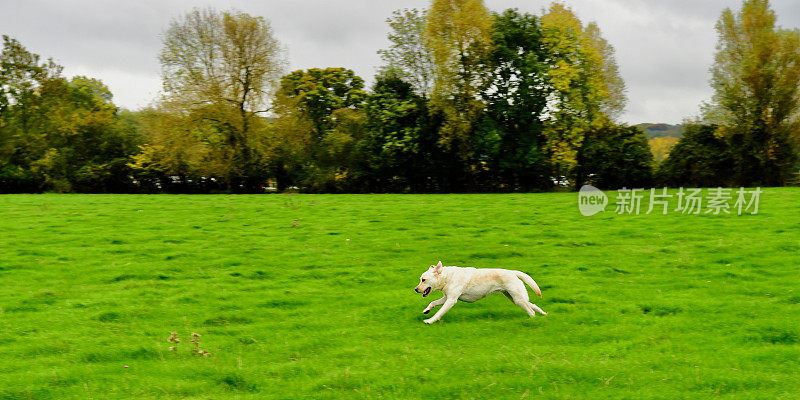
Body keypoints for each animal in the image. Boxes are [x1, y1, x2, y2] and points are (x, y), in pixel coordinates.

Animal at [416, 260, 548, 324]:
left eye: (423, 280)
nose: (416, 289)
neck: (447, 277)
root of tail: (513, 272)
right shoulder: (446, 297)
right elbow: (433, 302)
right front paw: (427, 310)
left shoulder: (451, 300)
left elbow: (439, 313)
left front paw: (429, 321)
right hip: (515, 298)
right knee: (533, 305)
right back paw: (544, 314)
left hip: (518, 299)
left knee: (531, 311)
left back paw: (532, 319)